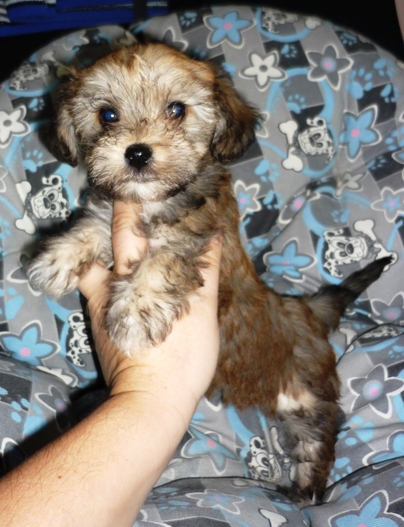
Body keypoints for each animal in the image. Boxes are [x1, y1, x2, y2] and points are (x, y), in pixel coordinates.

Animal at [27, 42, 391, 503]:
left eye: (177, 110)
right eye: (107, 115)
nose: (137, 152)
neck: (155, 200)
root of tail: (308, 311)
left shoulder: (196, 237)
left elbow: (161, 264)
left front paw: (134, 313)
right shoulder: (113, 214)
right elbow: (92, 226)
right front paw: (56, 258)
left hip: (308, 398)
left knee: (318, 436)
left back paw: (307, 489)